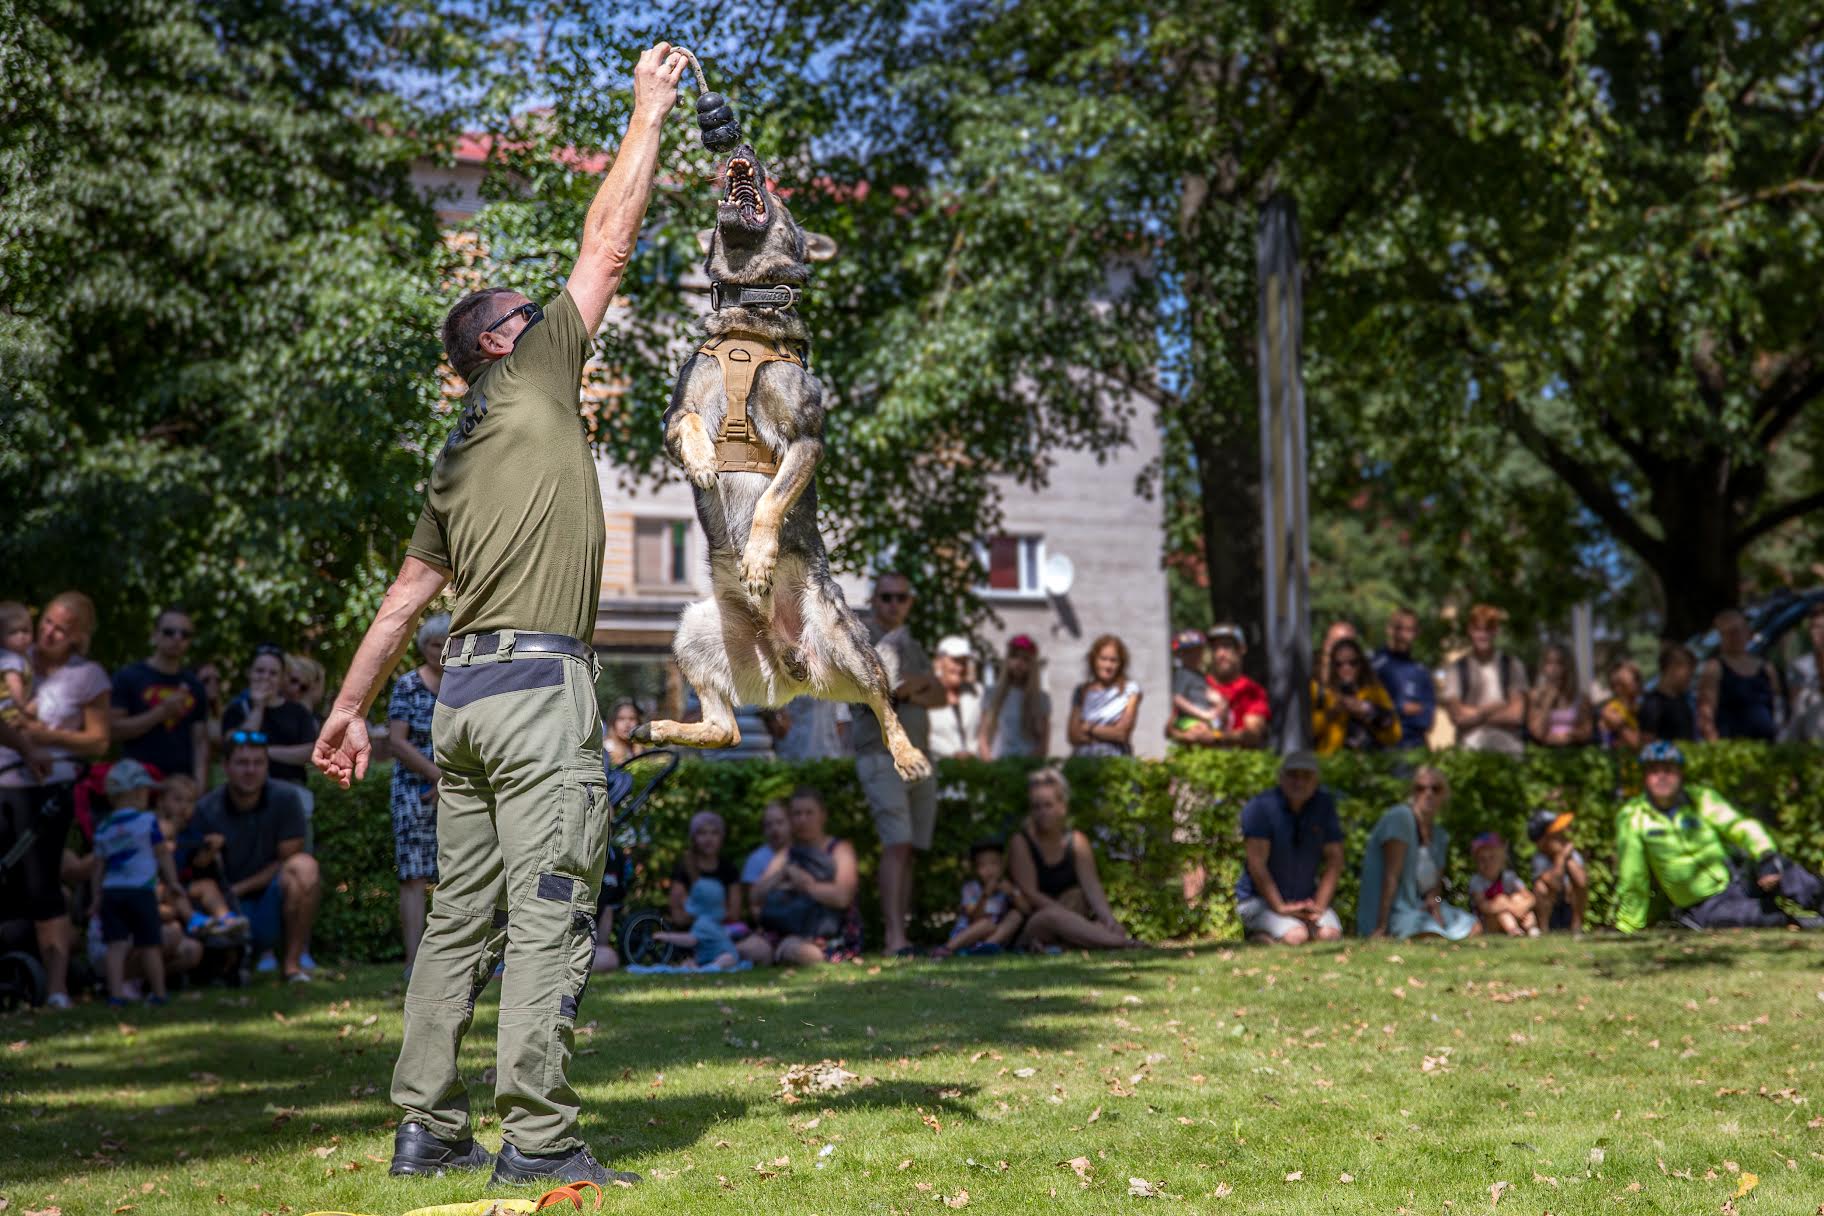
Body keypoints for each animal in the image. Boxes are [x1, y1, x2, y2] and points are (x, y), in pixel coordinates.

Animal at [634, 143, 933, 783]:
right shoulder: (673, 418)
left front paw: (758, 560)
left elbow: (771, 501)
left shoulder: (806, 441)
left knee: (884, 702)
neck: (748, 313)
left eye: (781, 193)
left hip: (848, 641)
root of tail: (793, 666)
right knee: (724, 729)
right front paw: (704, 463)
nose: (743, 149)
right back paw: (658, 728)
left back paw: (908, 756)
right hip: (694, 633)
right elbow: (692, 426)